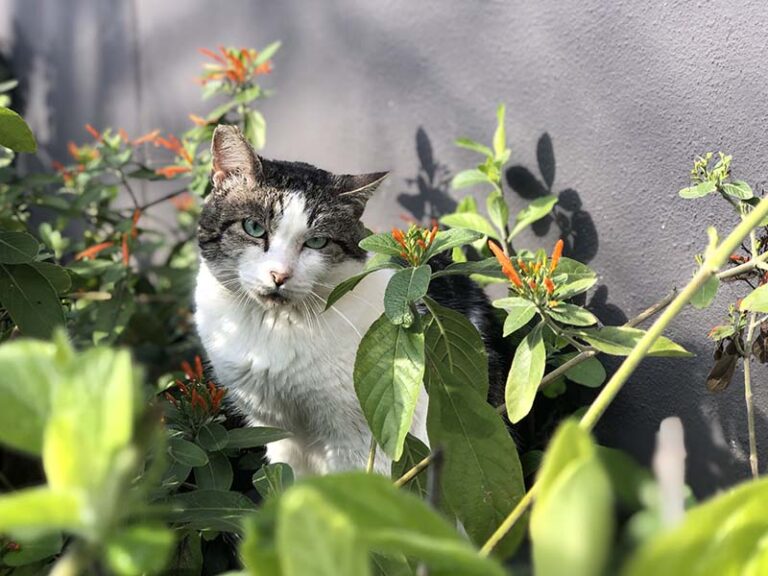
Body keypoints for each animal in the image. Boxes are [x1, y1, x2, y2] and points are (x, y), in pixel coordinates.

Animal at [195, 126, 508, 476]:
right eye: (253, 227)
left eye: (317, 242)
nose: (279, 274)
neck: (272, 325)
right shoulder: (277, 430)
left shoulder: (356, 438)